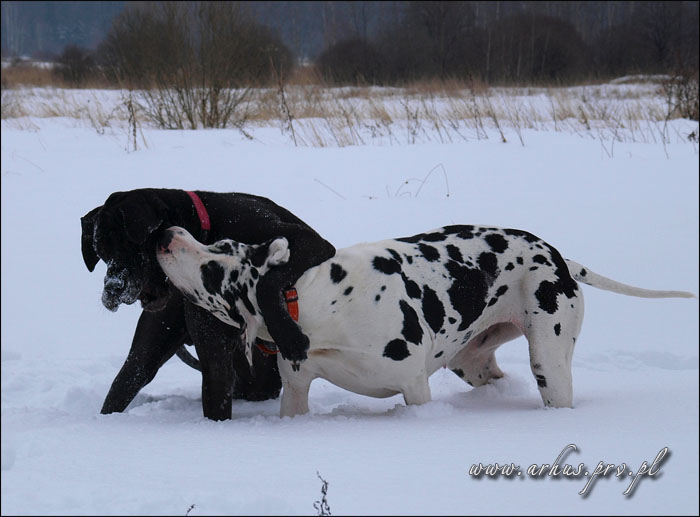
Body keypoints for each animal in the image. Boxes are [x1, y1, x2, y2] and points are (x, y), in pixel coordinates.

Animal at [80, 188, 334, 420]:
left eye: (130, 245)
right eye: (101, 253)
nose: (112, 288)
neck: (204, 230)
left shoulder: (306, 240)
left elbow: (267, 282)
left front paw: (289, 336)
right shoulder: (214, 356)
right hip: (145, 356)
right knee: (127, 379)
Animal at [156, 224, 694, 417]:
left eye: (215, 263)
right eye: (219, 241)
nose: (166, 233)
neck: (317, 300)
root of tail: (559, 257)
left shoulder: (414, 386)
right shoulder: (297, 391)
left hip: (551, 364)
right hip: (472, 364)